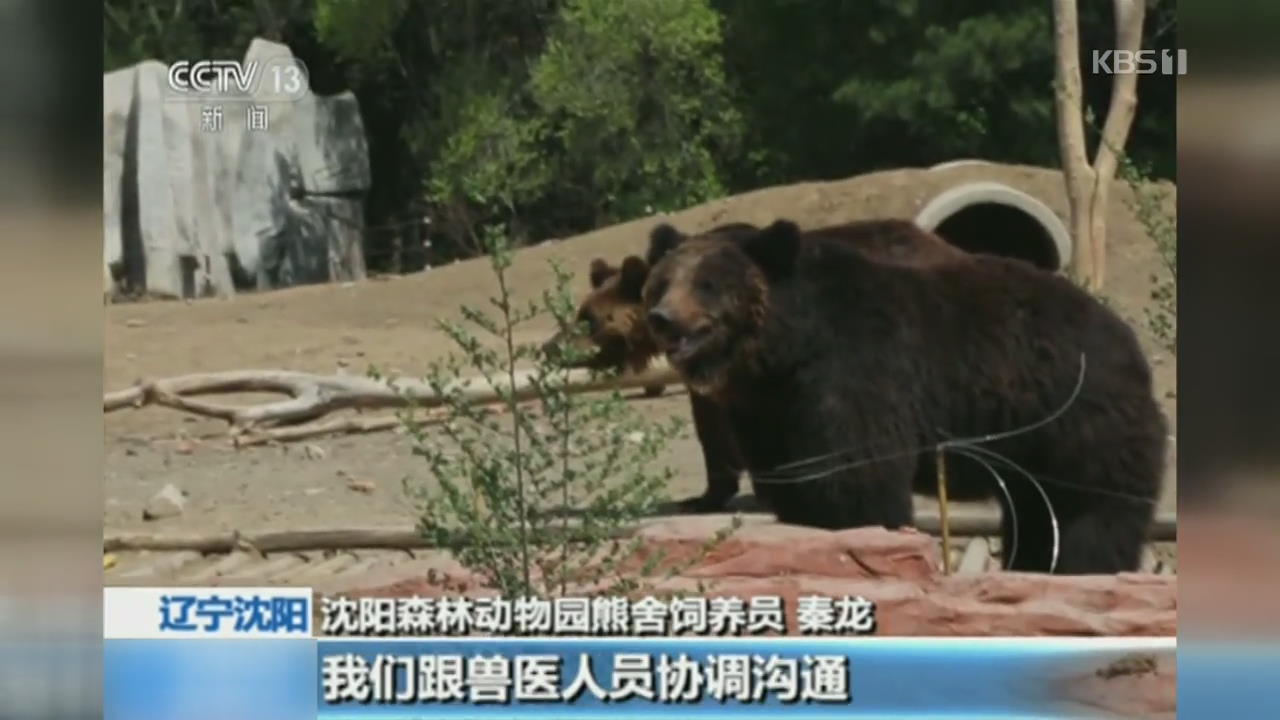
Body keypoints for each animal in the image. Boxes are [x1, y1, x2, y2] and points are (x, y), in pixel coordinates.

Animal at [645, 219, 1167, 571]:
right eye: (664, 280)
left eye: (709, 283)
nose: (663, 318)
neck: (785, 349)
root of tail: (1125, 336)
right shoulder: (769, 409)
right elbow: (793, 478)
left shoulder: (855, 372)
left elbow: (857, 478)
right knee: (1036, 509)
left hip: (1077, 415)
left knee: (1090, 507)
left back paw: (1084, 565)